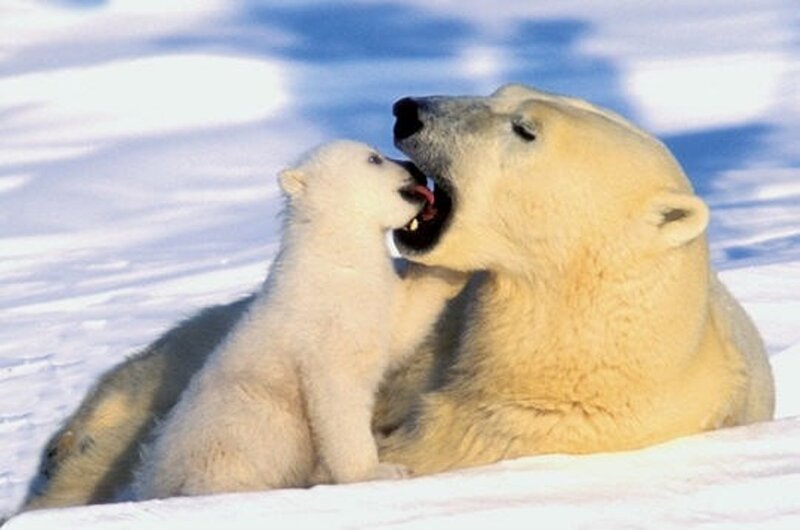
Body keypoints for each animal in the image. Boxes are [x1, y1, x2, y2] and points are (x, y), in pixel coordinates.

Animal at [20, 141, 465, 509]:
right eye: (374, 158)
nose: (414, 168)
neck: (331, 252)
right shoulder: (322, 324)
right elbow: (336, 399)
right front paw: (380, 471)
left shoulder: (368, 298)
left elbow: (402, 324)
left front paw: (452, 265)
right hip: (229, 449)